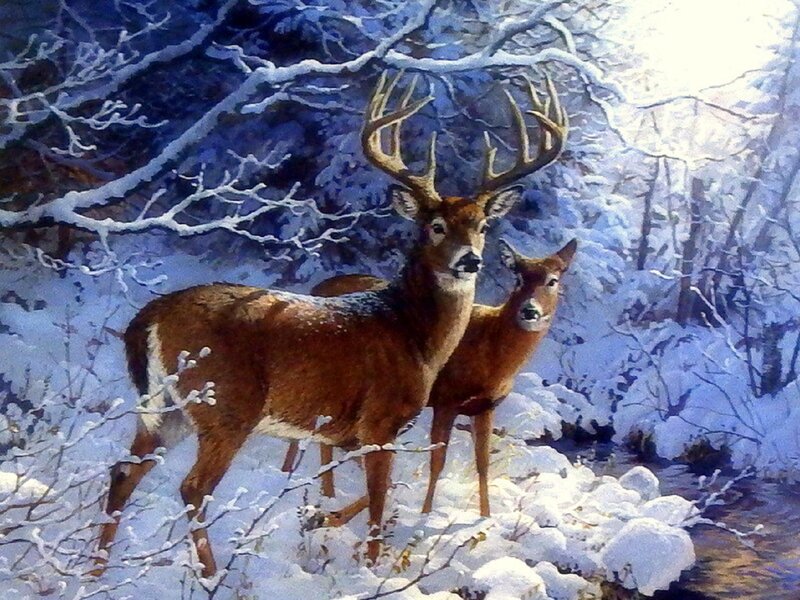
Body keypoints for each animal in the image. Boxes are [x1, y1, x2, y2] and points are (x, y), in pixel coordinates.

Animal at [282, 237, 576, 519]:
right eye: (519, 279)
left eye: (552, 281)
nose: (529, 311)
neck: (493, 356)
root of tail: (315, 289)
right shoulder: (446, 399)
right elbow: (437, 462)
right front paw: (425, 514)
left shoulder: (484, 407)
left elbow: (482, 464)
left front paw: (485, 517)